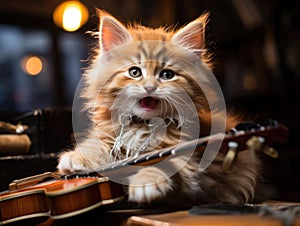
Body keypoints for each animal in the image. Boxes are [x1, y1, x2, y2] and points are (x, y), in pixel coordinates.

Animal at [57, 11, 258, 207]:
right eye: (135, 72)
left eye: (167, 75)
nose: (150, 87)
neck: (142, 126)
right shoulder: (109, 135)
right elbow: (95, 145)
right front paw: (76, 158)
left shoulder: (189, 158)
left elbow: (164, 165)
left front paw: (147, 182)